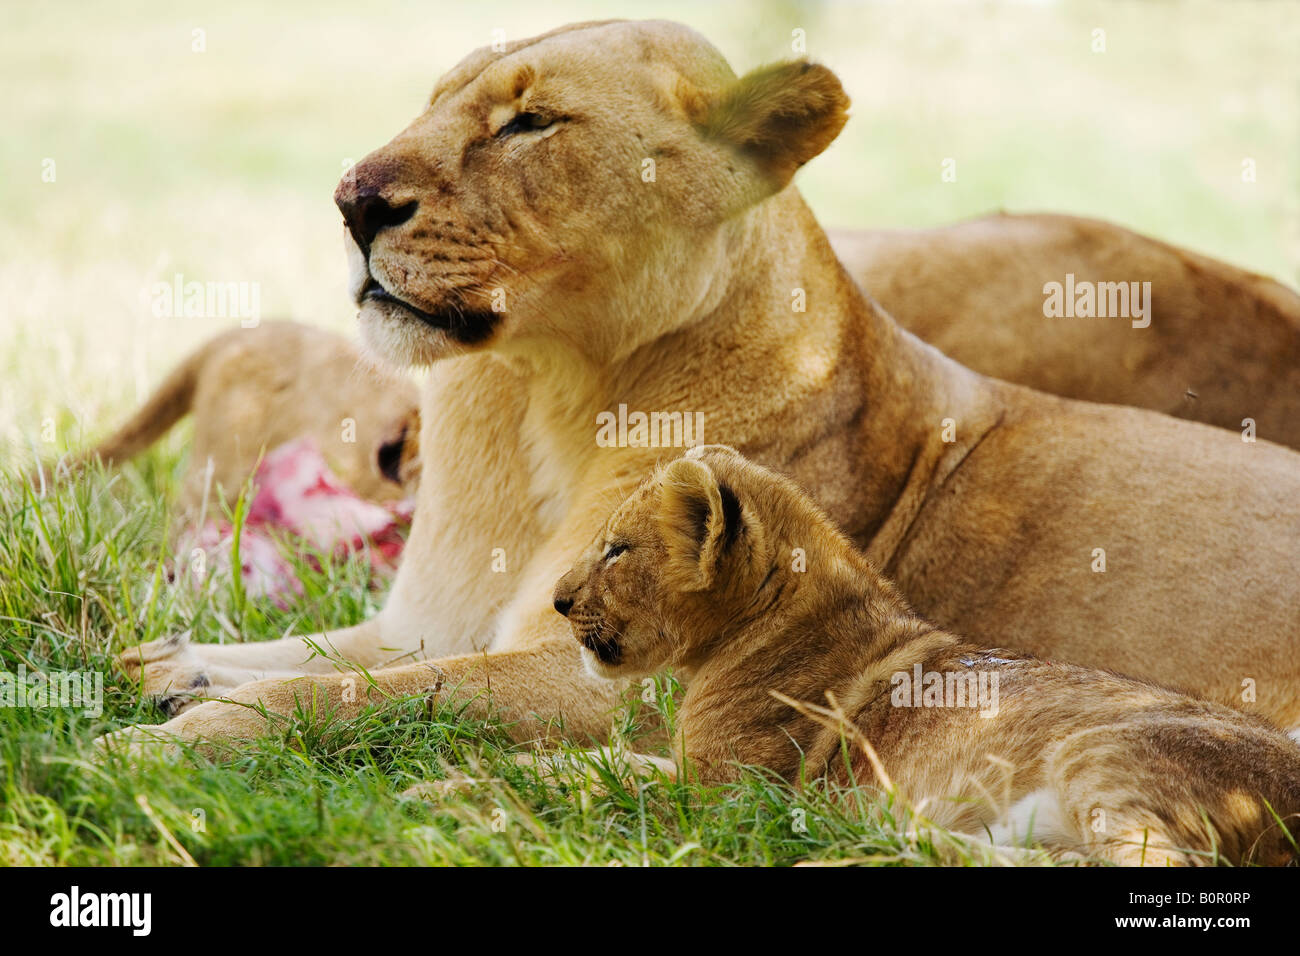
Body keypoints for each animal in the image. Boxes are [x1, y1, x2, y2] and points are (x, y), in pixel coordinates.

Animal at [103, 20, 1300, 754]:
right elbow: (318, 653)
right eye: (433, 101)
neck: (540, 404)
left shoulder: (603, 675)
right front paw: (172, 663)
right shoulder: (429, 621)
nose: (352, 198)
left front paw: (178, 739)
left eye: (530, 122)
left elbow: (338, 691)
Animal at [551, 445, 1300, 866]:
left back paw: (859, 837)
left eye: (616, 550)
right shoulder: (700, 773)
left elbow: (617, 776)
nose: (557, 602)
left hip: (1104, 751)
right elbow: (615, 757)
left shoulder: (728, 794)